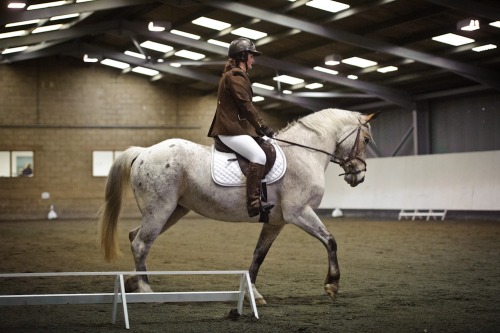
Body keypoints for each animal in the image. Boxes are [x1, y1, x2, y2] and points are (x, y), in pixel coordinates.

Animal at [98, 108, 378, 304]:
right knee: (141, 243)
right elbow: (330, 240)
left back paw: (133, 282)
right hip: (160, 211)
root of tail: (143, 152)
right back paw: (146, 290)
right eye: (365, 139)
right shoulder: (299, 213)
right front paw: (332, 285)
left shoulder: (277, 221)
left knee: (135, 237)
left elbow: (258, 255)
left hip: (172, 212)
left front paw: (252, 294)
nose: (360, 176)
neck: (304, 154)